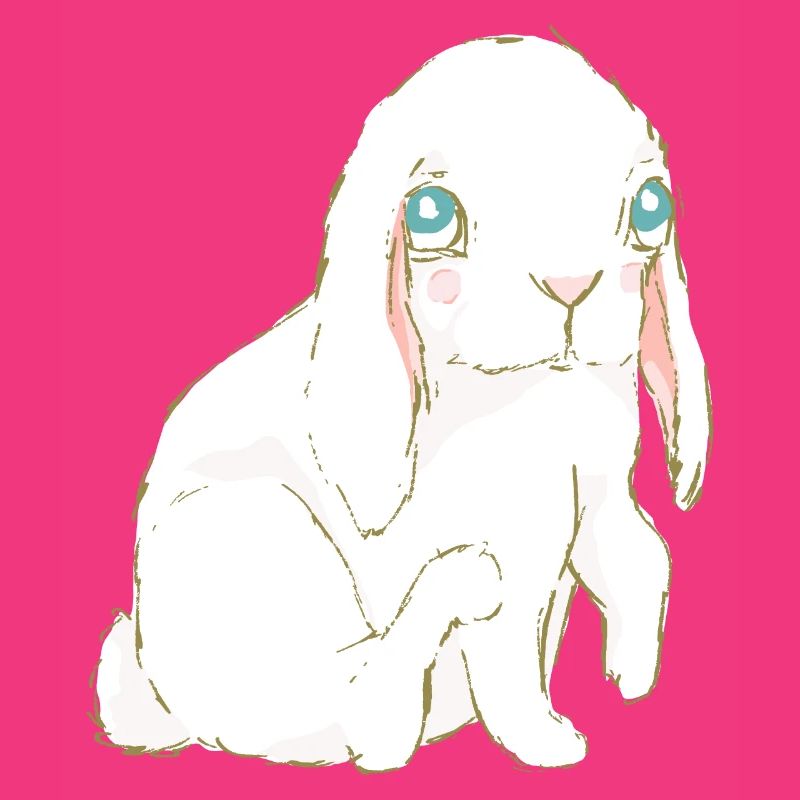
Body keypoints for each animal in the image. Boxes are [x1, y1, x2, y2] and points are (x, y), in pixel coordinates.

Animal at [94, 35, 711, 771]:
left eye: (651, 207)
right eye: (430, 215)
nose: (570, 284)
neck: (532, 396)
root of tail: (160, 704)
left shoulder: (605, 482)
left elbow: (642, 552)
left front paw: (633, 672)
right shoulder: (510, 545)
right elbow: (509, 656)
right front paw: (545, 742)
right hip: (240, 519)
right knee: (372, 717)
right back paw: (455, 590)